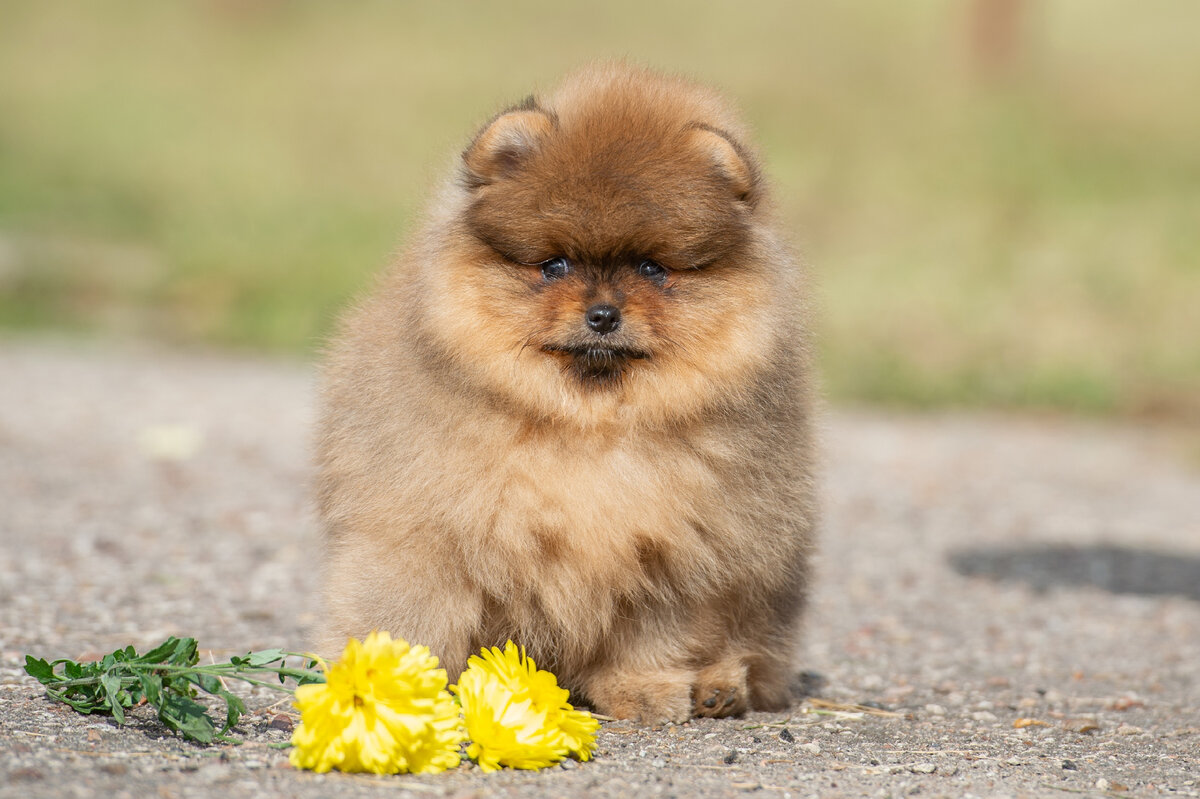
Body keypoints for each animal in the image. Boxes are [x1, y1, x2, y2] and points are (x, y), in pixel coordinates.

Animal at [319, 62, 816, 719]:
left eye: (652, 268)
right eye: (554, 265)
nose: (603, 314)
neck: (586, 426)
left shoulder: (672, 552)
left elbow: (651, 635)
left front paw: (644, 689)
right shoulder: (426, 537)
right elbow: (411, 618)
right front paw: (398, 694)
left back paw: (718, 687)